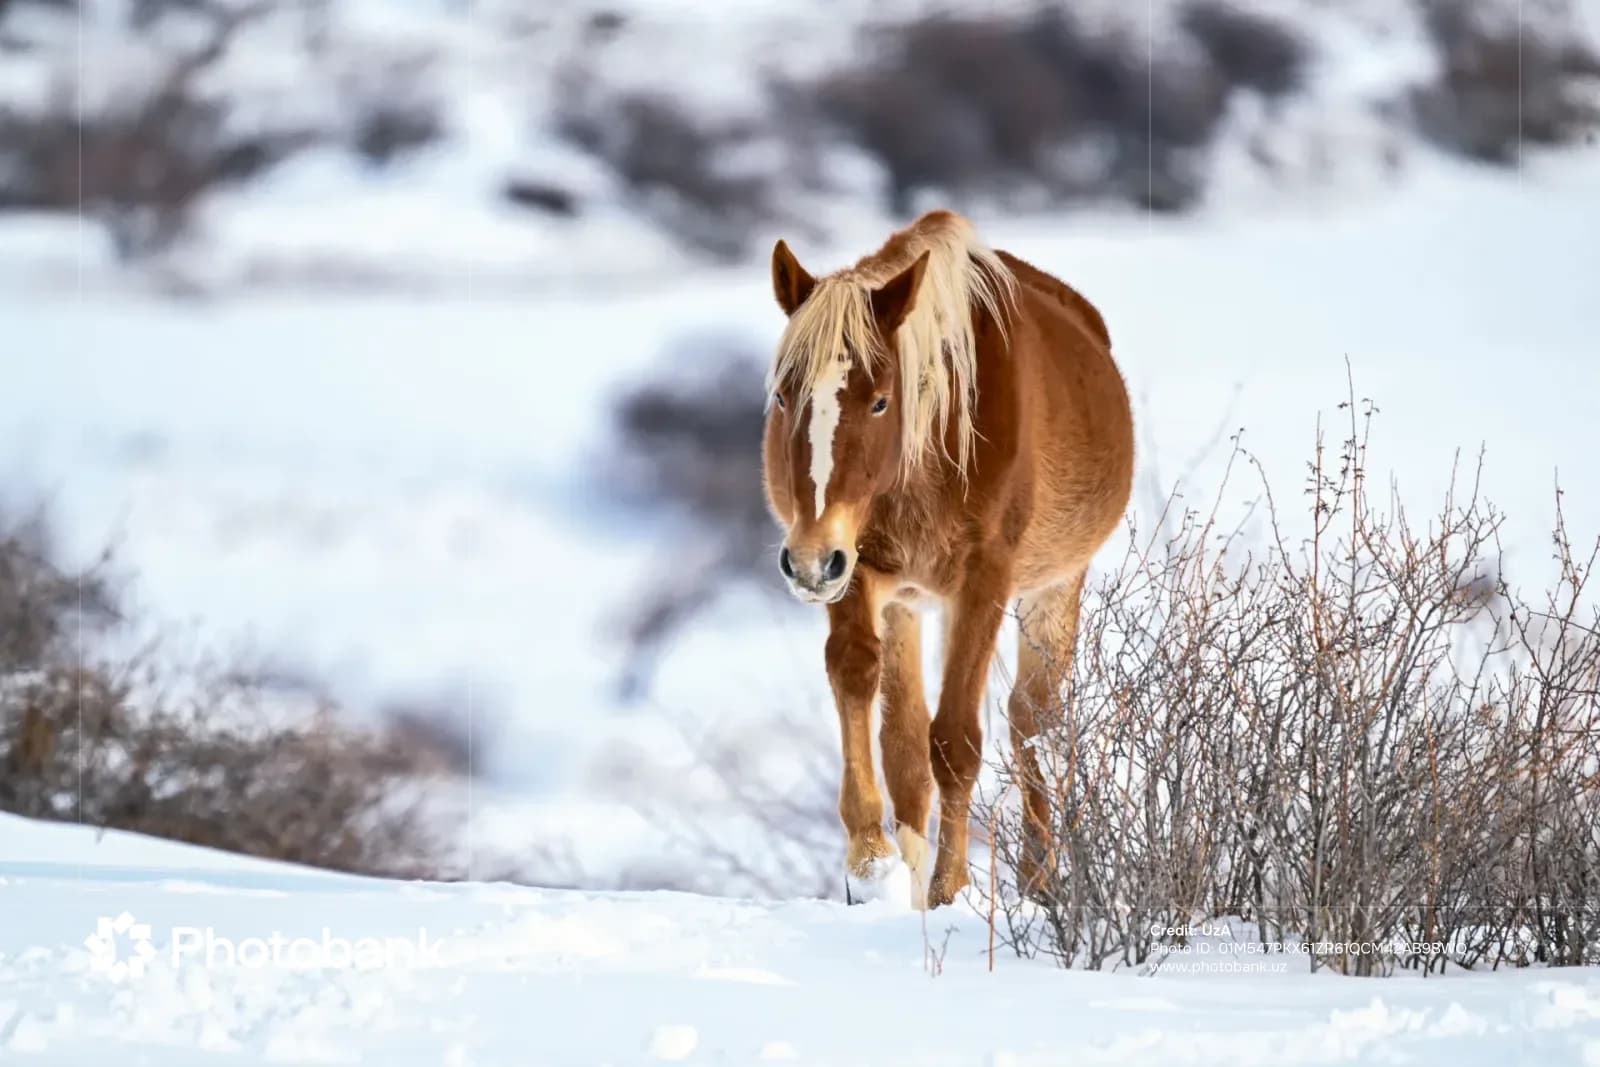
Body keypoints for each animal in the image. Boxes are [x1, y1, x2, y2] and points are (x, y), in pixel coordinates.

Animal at [760, 209, 1134, 909]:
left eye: (880, 400)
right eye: (783, 397)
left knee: (1031, 721)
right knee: (908, 749)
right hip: (905, 600)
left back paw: (1039, 878)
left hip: (1054, 589)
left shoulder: (984, 581)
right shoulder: (861, 570)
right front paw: (871, 861)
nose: (807, 561)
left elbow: (957, 740)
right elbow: (864, 690)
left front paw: (950, 888)